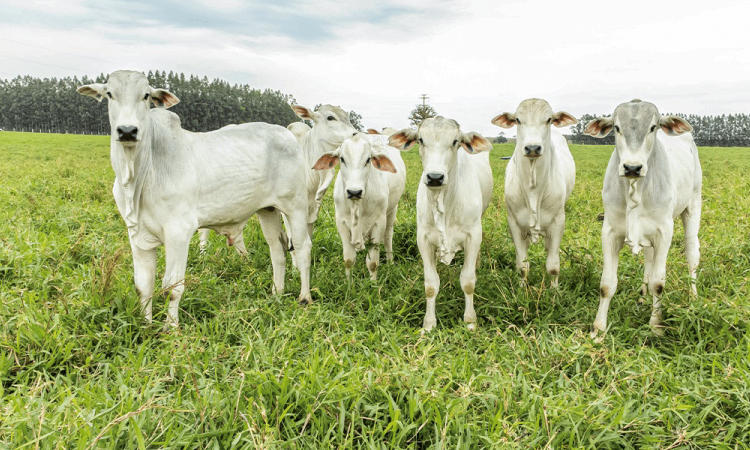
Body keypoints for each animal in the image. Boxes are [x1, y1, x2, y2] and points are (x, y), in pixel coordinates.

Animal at [76, 72, 312, 328]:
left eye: (146, 95)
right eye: (109, 94)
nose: (127, 131)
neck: (139, 176)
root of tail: (287, 134)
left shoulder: (179, 232)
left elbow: (172, 287)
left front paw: (171, 328)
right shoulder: (137, 234)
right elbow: (143, 286)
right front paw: (146, 325)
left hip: (296, 206)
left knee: (302, 247)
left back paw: (304, 297)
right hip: (267, 209)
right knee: (277, 248)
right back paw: (277, 292)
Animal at [312, 133, 406, 282]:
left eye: (368, 160)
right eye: (342, 159)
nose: (354, 192)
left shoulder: (378, 223)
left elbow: (373, 263)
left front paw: (373, 284)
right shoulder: (342, 223)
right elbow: (349, 260)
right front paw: (349, 284)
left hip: (392, 210)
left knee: (388, 237)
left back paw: (390, 262)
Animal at [390, 116, 496, 330]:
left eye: (455, 141)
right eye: (421, 140)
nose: (435, 177)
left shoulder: (473, 236)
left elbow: (468, 282)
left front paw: (470, 321)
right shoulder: (423, 239)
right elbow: (431, 284)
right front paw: (429, 324)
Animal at [494, 100, 580, 286]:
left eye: (549, 119)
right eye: (518, 120)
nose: (532, 148)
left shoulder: (558, 222)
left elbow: (553, 266)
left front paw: (554, 290)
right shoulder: (514, 222)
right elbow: (522, 265)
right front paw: (522, 287)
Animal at [584, 99, 704, 338]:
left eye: (653, 127)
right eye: (617, 127)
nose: (632, 167)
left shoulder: (664, 231)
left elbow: (659, 282)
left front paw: (656, 325)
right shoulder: (610, 231)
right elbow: (607, 284)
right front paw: (598, 329)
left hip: (693, 206)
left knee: (692, 254)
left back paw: (693, 296)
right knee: (649, 259)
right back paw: (642, 294)